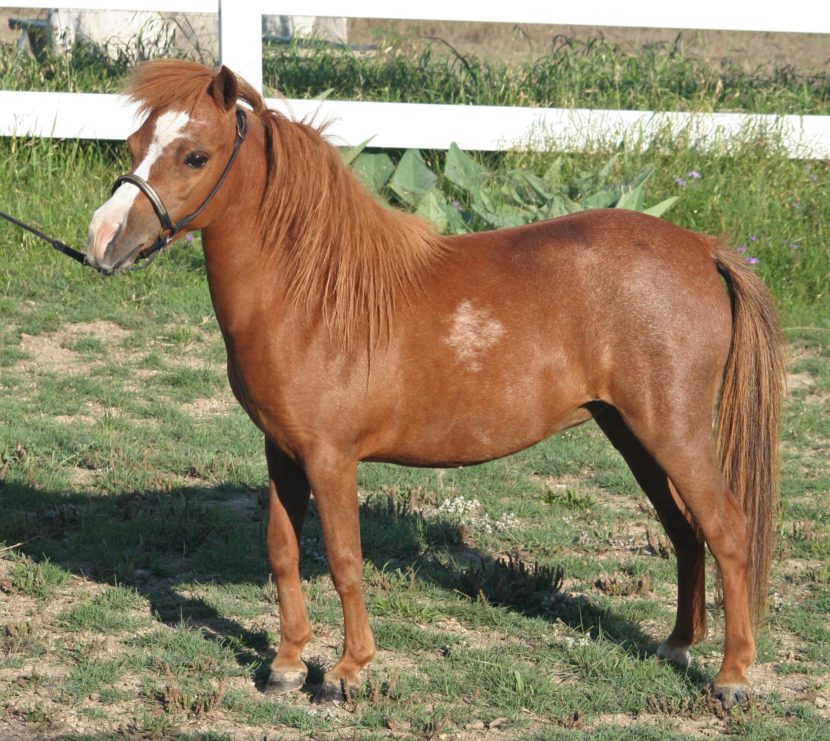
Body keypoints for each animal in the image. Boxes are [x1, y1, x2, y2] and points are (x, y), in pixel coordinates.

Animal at [86, 60, 784, 707]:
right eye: (134, 142)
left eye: (195, 155)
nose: (101, 240)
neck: (311, 296)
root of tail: (702, 248)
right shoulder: (282, 451)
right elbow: (283, 551)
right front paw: (285, 666)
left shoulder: (330, 459)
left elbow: (344, 560)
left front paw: (347, 672)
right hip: (633, 434)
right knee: (685, 531)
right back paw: (677, 645)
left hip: (673, 433)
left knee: (727, 530)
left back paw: (733, 677)